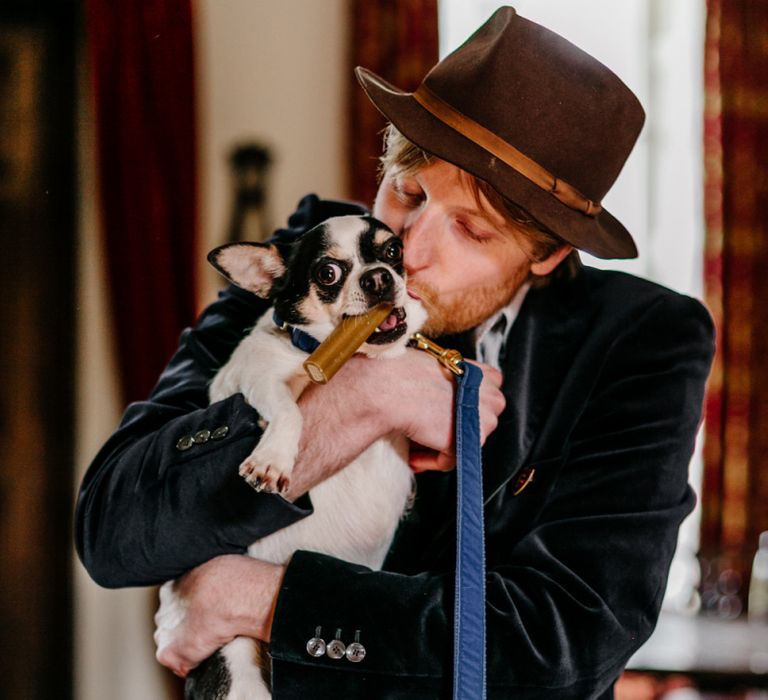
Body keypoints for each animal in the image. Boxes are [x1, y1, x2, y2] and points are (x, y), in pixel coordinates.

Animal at [158, 215, 426, 700]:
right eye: (328, 273)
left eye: (393, 251)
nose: (379, 278)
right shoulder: (258, 377)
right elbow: (290, 410)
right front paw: (273, 459)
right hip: (236, 668)